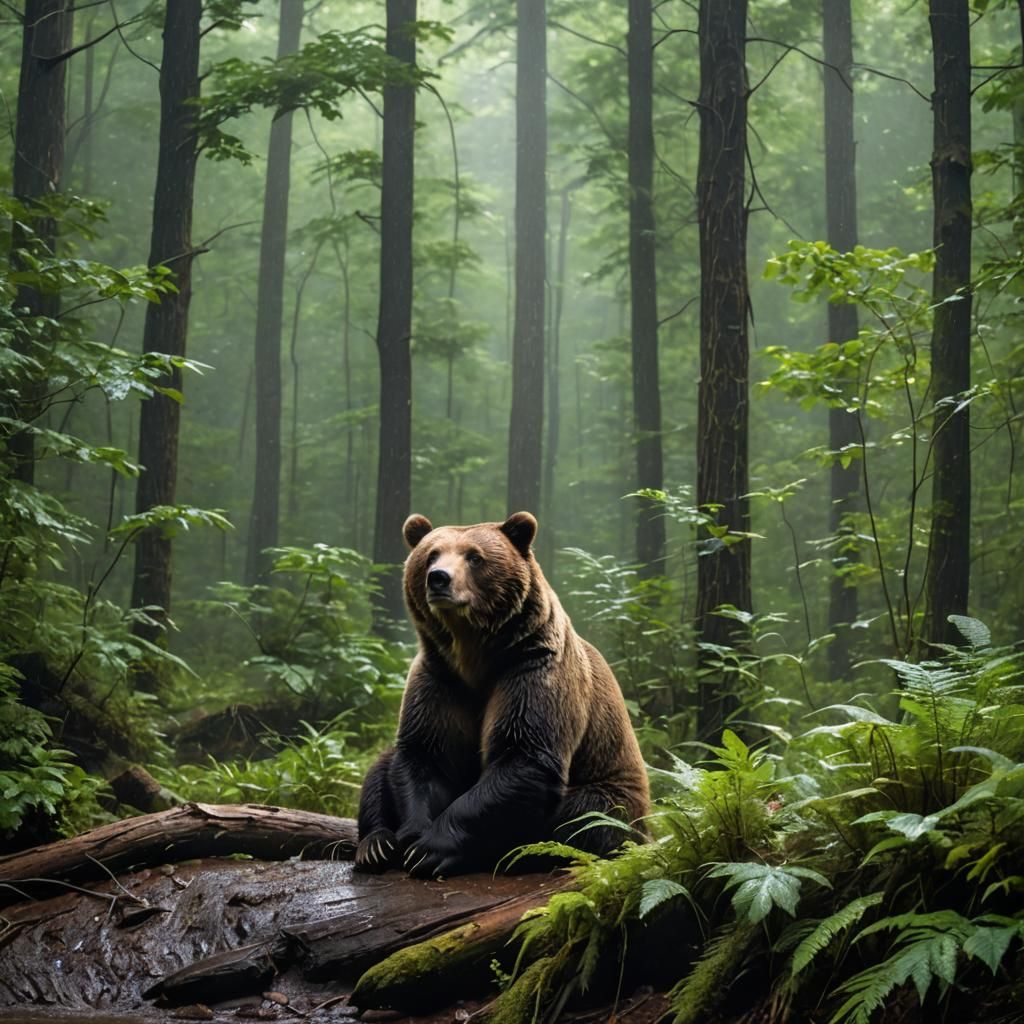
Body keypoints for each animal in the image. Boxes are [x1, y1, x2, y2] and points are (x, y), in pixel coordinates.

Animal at [355, 510, 650, 878]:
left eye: (474, 557)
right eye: (431, 555)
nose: (439, 579)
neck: (474, 655)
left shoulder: (533, 668)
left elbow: (523, 755)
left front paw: (429, 849)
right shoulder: (439, 678)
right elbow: (424, 752)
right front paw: (409, 835)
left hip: (615, 791)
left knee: (582, 817)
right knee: (381, 765)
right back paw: (375, 845)